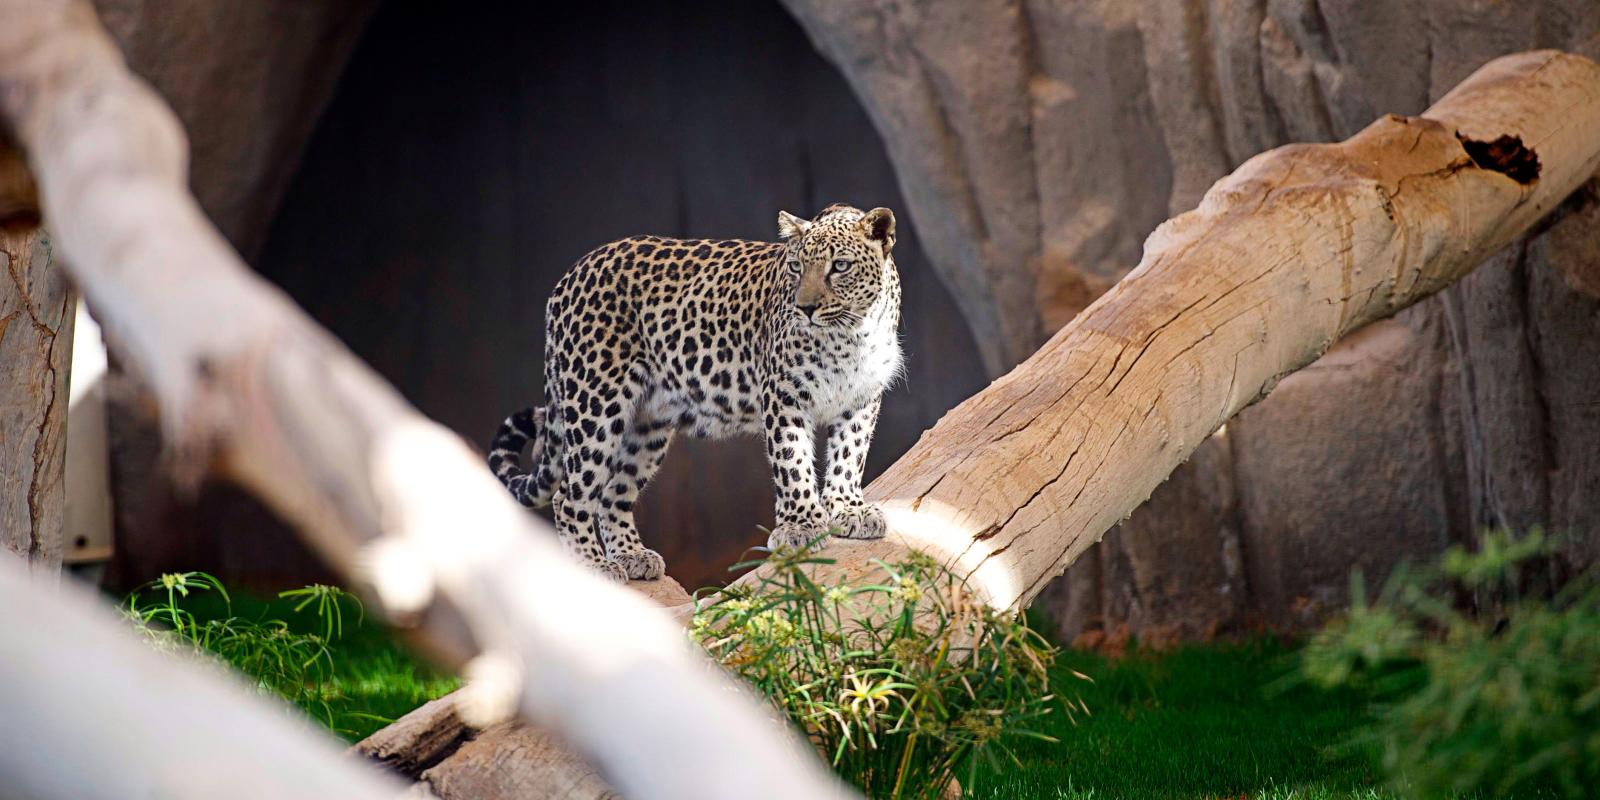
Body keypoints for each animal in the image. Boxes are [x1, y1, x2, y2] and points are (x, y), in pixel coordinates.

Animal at [486, 206, 908, 582]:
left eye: (840, 266)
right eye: (795, 267)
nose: (804, 308)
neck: (851, 334)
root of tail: (570, 274)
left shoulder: (862, 399)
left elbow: (849, 456)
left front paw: (848, 510)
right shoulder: (783, 396)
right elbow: (792, 462)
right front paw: (801, 525)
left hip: (648, 425)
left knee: (612, 494)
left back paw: (632, 556)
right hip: (595, 400)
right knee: (570, 497)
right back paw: (594, 566)